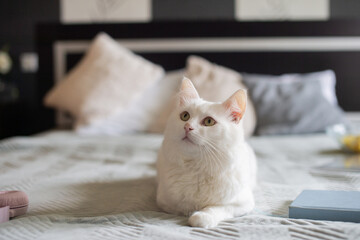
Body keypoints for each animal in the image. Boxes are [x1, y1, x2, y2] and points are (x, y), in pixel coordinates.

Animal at [156, 77, 258, 229]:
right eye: (185, 116)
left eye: (209, 121)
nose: (187, 127)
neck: (197, 167)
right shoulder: (163, 200)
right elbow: (182, 206)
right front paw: (192, 210)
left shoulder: (243, 203)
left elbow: (217, 208)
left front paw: (200, 217)